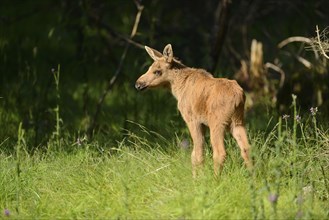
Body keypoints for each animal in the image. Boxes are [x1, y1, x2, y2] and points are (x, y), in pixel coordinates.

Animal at [134, 43, 251, 176]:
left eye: (157, 71)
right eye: (149, 68)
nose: (138, 84)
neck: (177, 89)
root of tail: (239, 97)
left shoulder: (192, 120)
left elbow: (198, 153)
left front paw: (198, 178)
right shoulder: (203, 123)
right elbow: (194, 154)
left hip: (218, 122)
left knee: (220, 152)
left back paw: (216, 178)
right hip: (238, 122)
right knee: (247, 149)